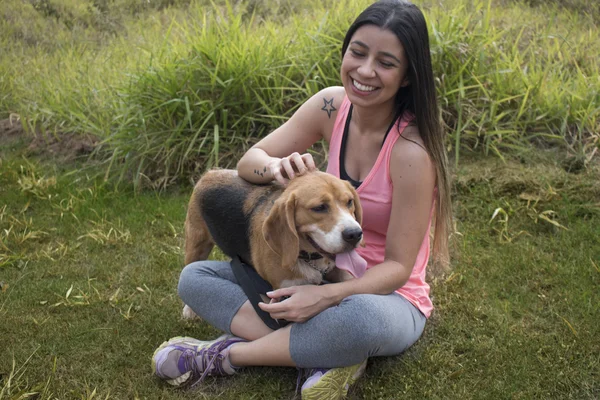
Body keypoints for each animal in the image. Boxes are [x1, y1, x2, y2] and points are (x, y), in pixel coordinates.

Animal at [184, 169, 360, 290]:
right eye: (319, 208)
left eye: (349, 202)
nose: (355, 234)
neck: (308, 258)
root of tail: (209, 173)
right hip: (196, 245)